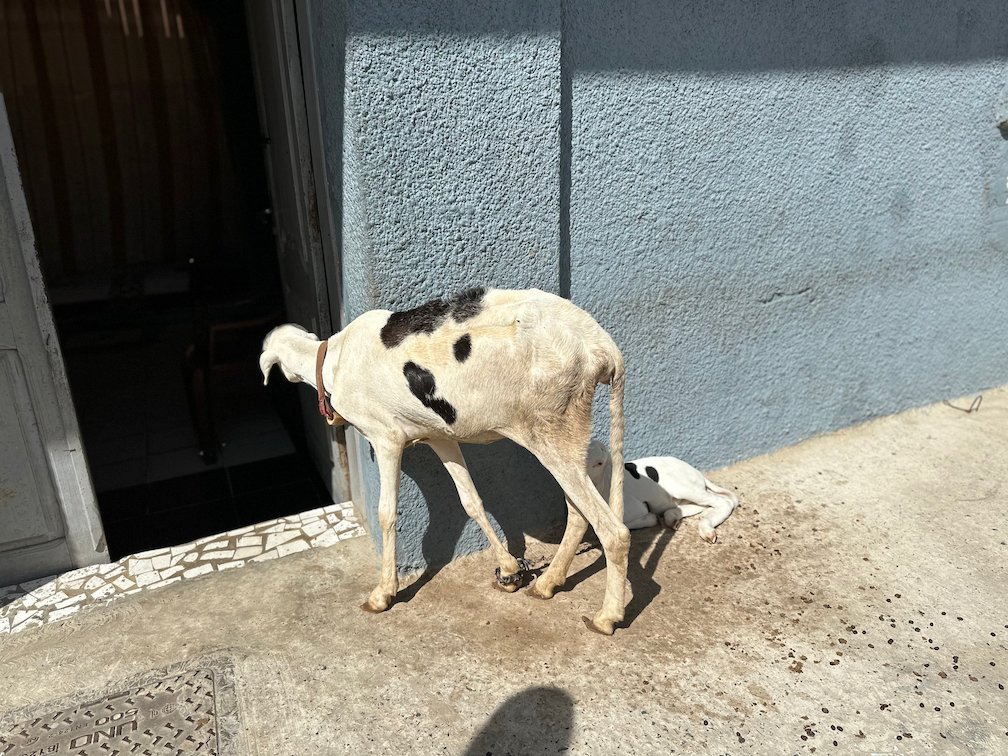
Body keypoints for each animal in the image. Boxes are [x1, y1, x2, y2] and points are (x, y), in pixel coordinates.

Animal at [259, 287, 630, 635]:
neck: (334, 358)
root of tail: (601, 344)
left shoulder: (386, 438)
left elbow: (386, 514)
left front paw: (383, 594)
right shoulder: (440, 436)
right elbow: (471, 500)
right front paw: (509, 570)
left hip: (551, 430)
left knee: (613, 531)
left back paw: (607, 616)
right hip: (565, 432)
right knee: (581, 510)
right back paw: (547, 583)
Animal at [587, 439, 738, 542]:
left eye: (599, 463)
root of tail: (696, 471)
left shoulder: (637, 508)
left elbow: (626, 525)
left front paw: (650, 518)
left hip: (685, 488)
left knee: (723, 502)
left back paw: (706, 528)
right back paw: (673, 517)